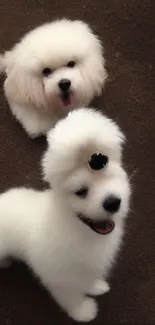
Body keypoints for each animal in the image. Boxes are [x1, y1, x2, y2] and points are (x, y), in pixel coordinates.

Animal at [0, 108, 131, 318]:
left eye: (110, 177)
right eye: (81, 191)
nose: (113, 202)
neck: (77, 228)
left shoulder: (85, 267)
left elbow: (87, 279)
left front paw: (95, 286)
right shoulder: (60, 279)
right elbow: (71, 298)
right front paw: (83, 312)